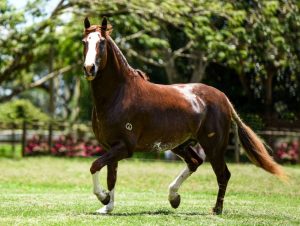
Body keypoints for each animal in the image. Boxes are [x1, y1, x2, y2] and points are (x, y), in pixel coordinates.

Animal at [81, 17, 286, 214]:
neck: (119, 94)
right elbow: (111, 177)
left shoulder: (124, 147)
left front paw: (103, 197)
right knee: (195, 162)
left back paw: (216, 209)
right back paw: (174, 198)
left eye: (101, 43)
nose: (89, 68)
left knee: (223, 174)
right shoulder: (111, 146)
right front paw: (107, 206)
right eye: (84, 42)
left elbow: (95, 165)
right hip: (180, 144)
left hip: (213, 147)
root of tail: (224, 99)